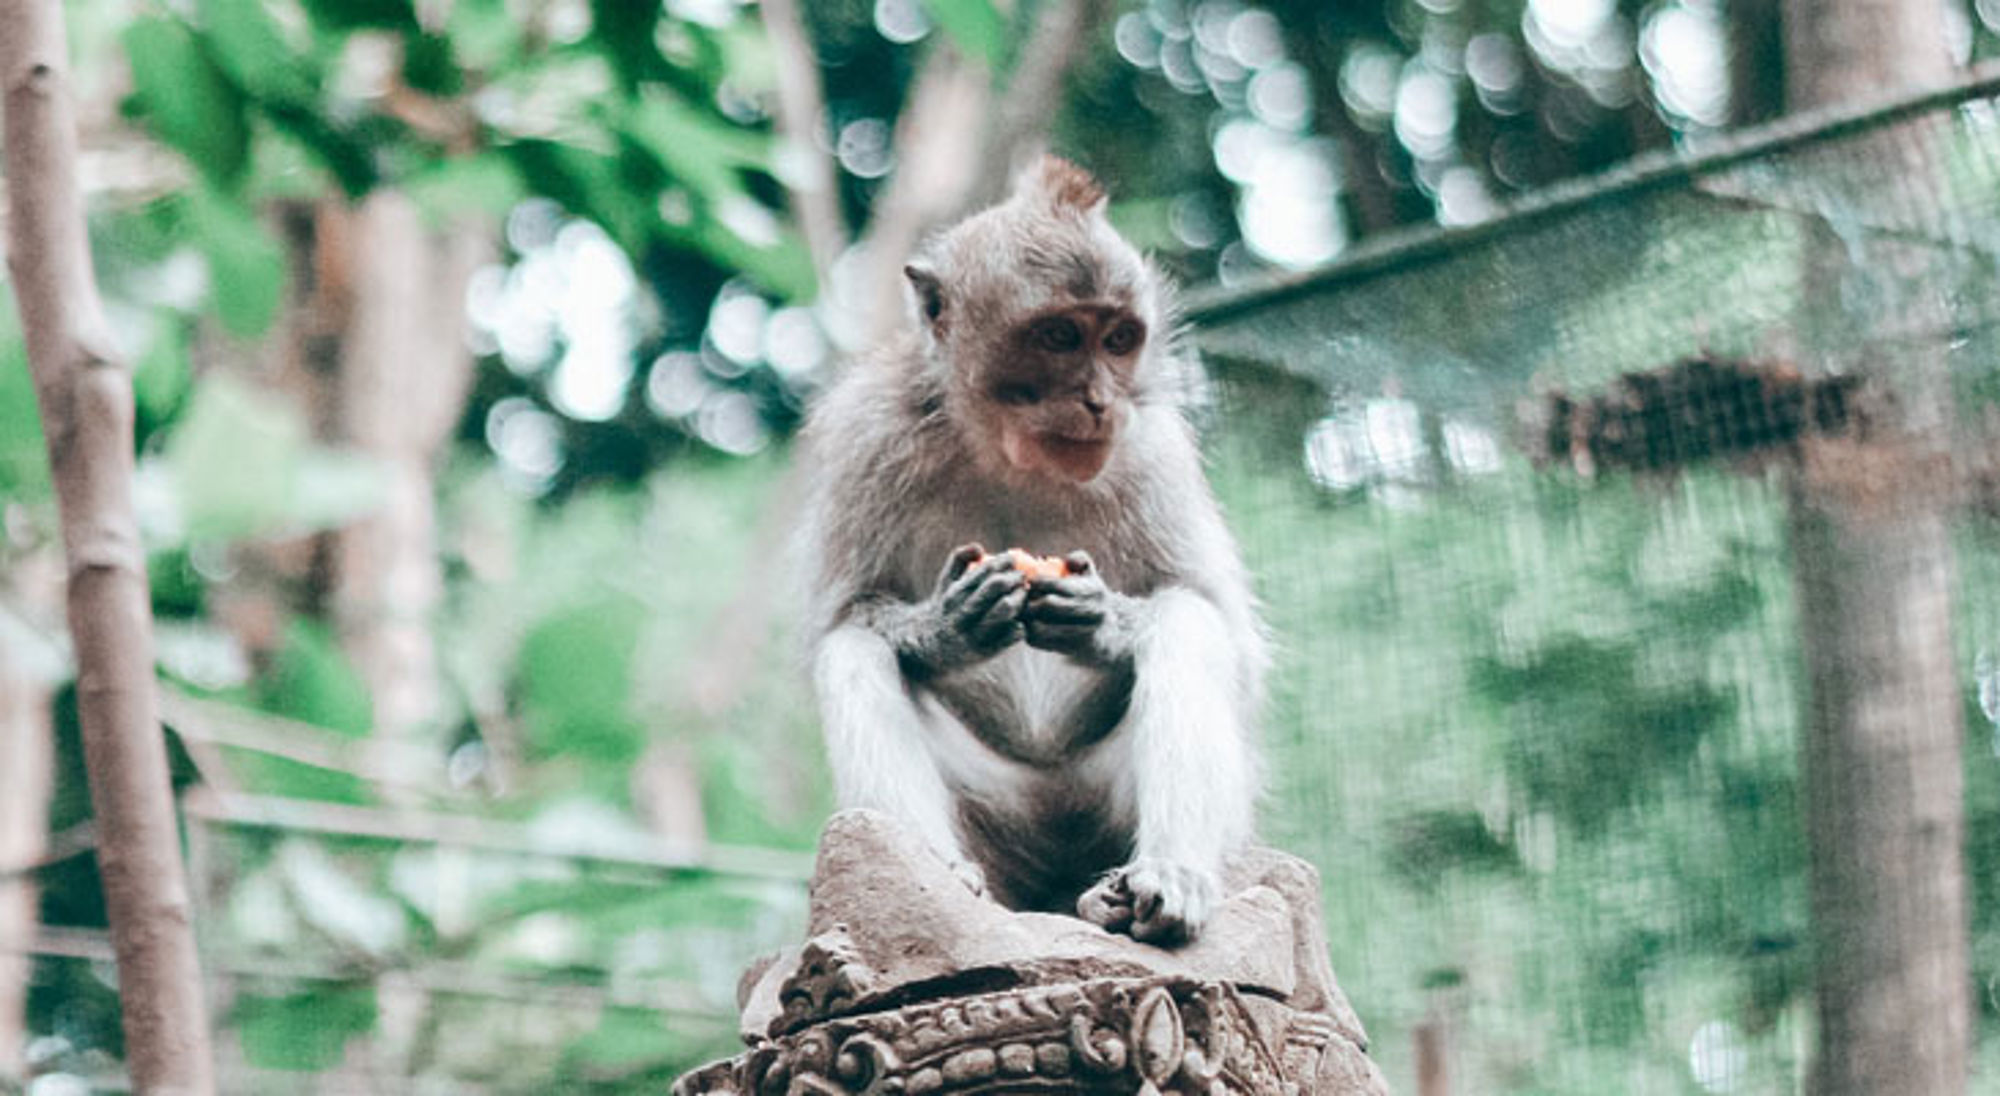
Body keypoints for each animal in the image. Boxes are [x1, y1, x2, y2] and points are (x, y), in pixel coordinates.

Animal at [797, 156, 1267, 945]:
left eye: (1118, 340)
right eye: (1059, 337)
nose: (1099, 402)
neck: (1006, 452)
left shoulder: (1153, 449)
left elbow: (1217, 622)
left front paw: (1103, 622)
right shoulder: (867, 433)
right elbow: (843, 617)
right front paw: (944, 629)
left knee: (1187, 626)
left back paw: (1160, 883)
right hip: (996, 814)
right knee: (853, 653)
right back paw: (934, 880)